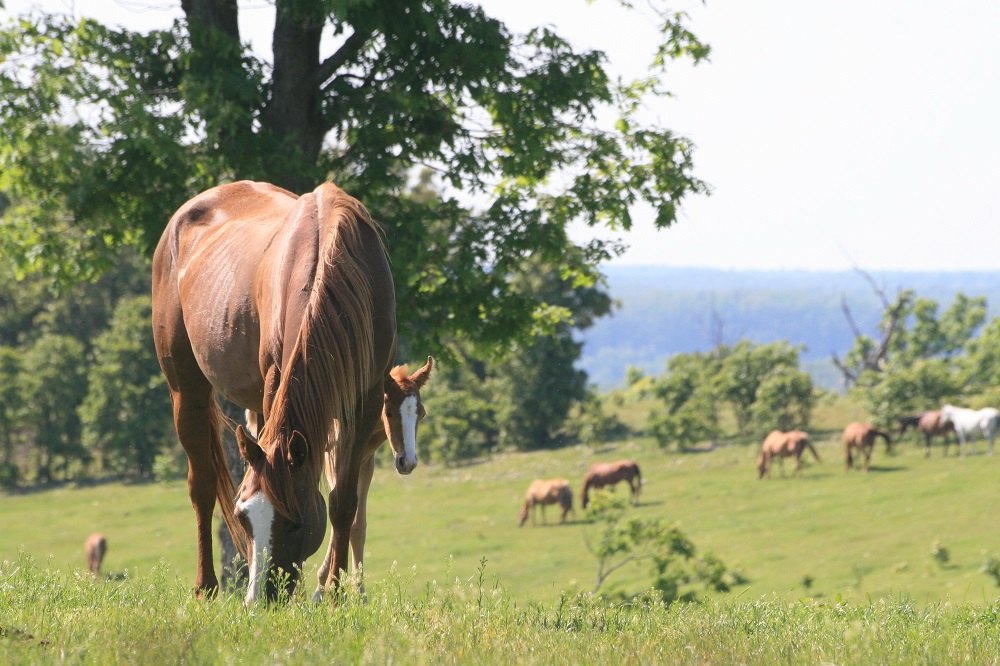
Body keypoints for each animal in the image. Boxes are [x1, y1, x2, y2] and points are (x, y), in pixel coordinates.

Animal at [153, 180, 419, 604]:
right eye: (245, 518)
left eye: (295, 522)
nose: (261, 598)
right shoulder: (276, 380)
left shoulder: (364, 402)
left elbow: (343, 502)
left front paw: (333, 592)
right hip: (186, 389)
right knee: (202, 485)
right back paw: (206, 587)